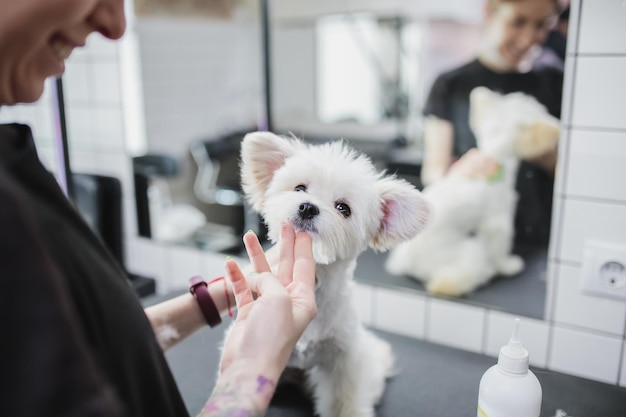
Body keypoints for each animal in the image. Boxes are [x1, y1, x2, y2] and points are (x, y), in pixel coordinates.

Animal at [239, 132, 428, 416]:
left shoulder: (344, 360)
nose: (308, 207)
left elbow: (344, 400)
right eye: (299, 188)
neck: (314, 279)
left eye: (343, 208)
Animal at [386, 87, 560, 296]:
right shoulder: (498, 221)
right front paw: (507, 265)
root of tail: (412, 264)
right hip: (470, 250)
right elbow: (500, 246)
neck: (494, 159)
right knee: (454, 279)